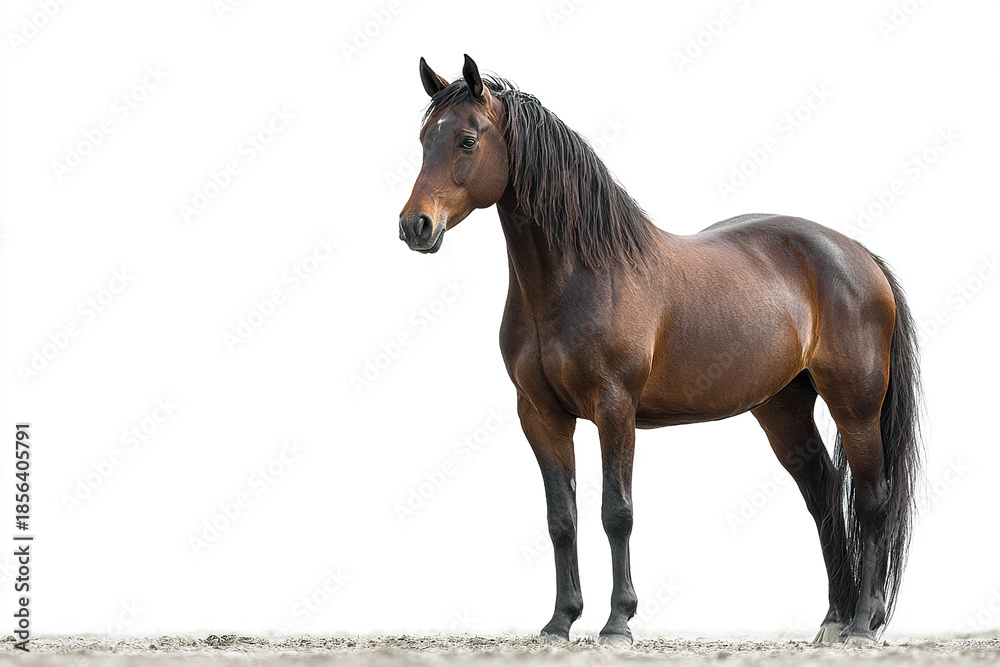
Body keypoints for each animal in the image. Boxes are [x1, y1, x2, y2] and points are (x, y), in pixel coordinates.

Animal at [398, 55, 921, 648]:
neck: (580, 273)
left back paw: (862, 624)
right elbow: (562, 518)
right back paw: (833, 619)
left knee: (873, 499)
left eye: (467, 140)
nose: (415, 226)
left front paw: (617, 623)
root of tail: (859, 255)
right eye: (424, 139)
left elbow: (616, 512)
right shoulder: (540, 414)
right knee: (826, 495)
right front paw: (559, 621)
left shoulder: (615, 409)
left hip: (856, 407)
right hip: (784, 410)